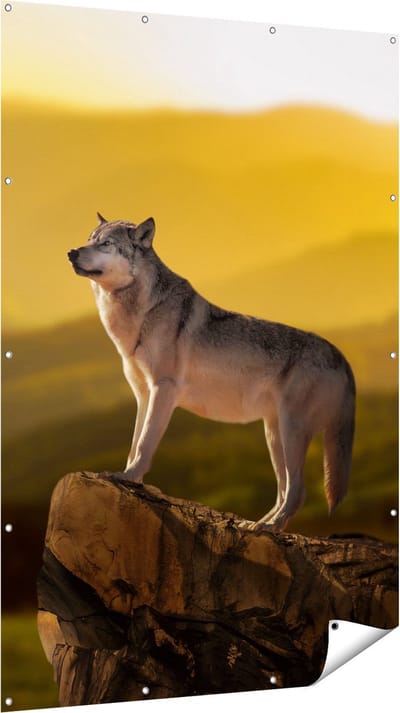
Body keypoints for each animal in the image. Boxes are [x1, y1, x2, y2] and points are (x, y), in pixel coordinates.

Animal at [68, 213, 355, 530]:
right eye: (90, 239)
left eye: (106, 244)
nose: (72, 253)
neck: (141, 313)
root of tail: (341, 356)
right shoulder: (143, 395)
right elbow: (134, 443)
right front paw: (130, 479)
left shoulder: (163, 389)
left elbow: (144, 444)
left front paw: (128, 478)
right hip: (274, 434)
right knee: (283, 490)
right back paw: (256, 525)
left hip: (292, 431)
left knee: (297, 490)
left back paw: (267, 527)